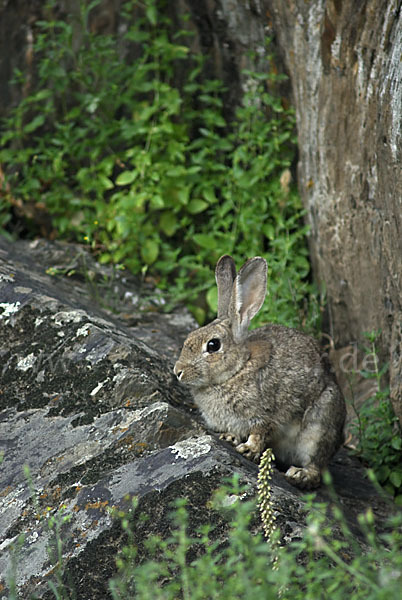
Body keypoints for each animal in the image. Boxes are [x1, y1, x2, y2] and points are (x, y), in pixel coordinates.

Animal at [174, 255, 346, 490]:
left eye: (213, 345)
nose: (178, 371)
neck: (237, 369)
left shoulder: (265, 415)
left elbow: (260, 433)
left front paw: (248, 450)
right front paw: (230, 438)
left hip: (319, 425)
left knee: (316, 468)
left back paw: (299, 475)